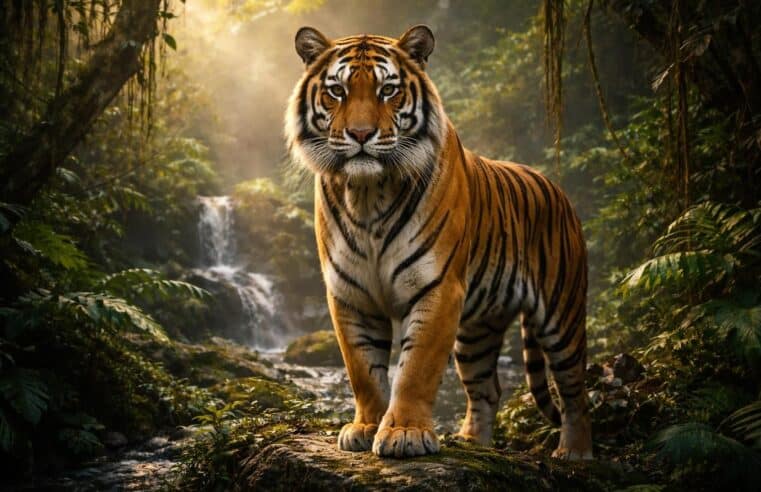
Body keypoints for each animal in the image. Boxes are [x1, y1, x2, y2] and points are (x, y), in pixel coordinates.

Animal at [285, 24, 592, 460]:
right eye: (338, 91)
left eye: (387, 90)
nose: (360, 134)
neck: (368, 193)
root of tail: (557, 187)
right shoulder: (351, 294)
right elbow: (363, 370)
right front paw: (365, 427)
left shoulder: (438, 287)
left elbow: (415, 369)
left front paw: (405, 434)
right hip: (477, 330)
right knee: (487, 388)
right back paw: (472, 443)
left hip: (561, 314)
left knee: (574, 389)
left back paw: (575, 452)